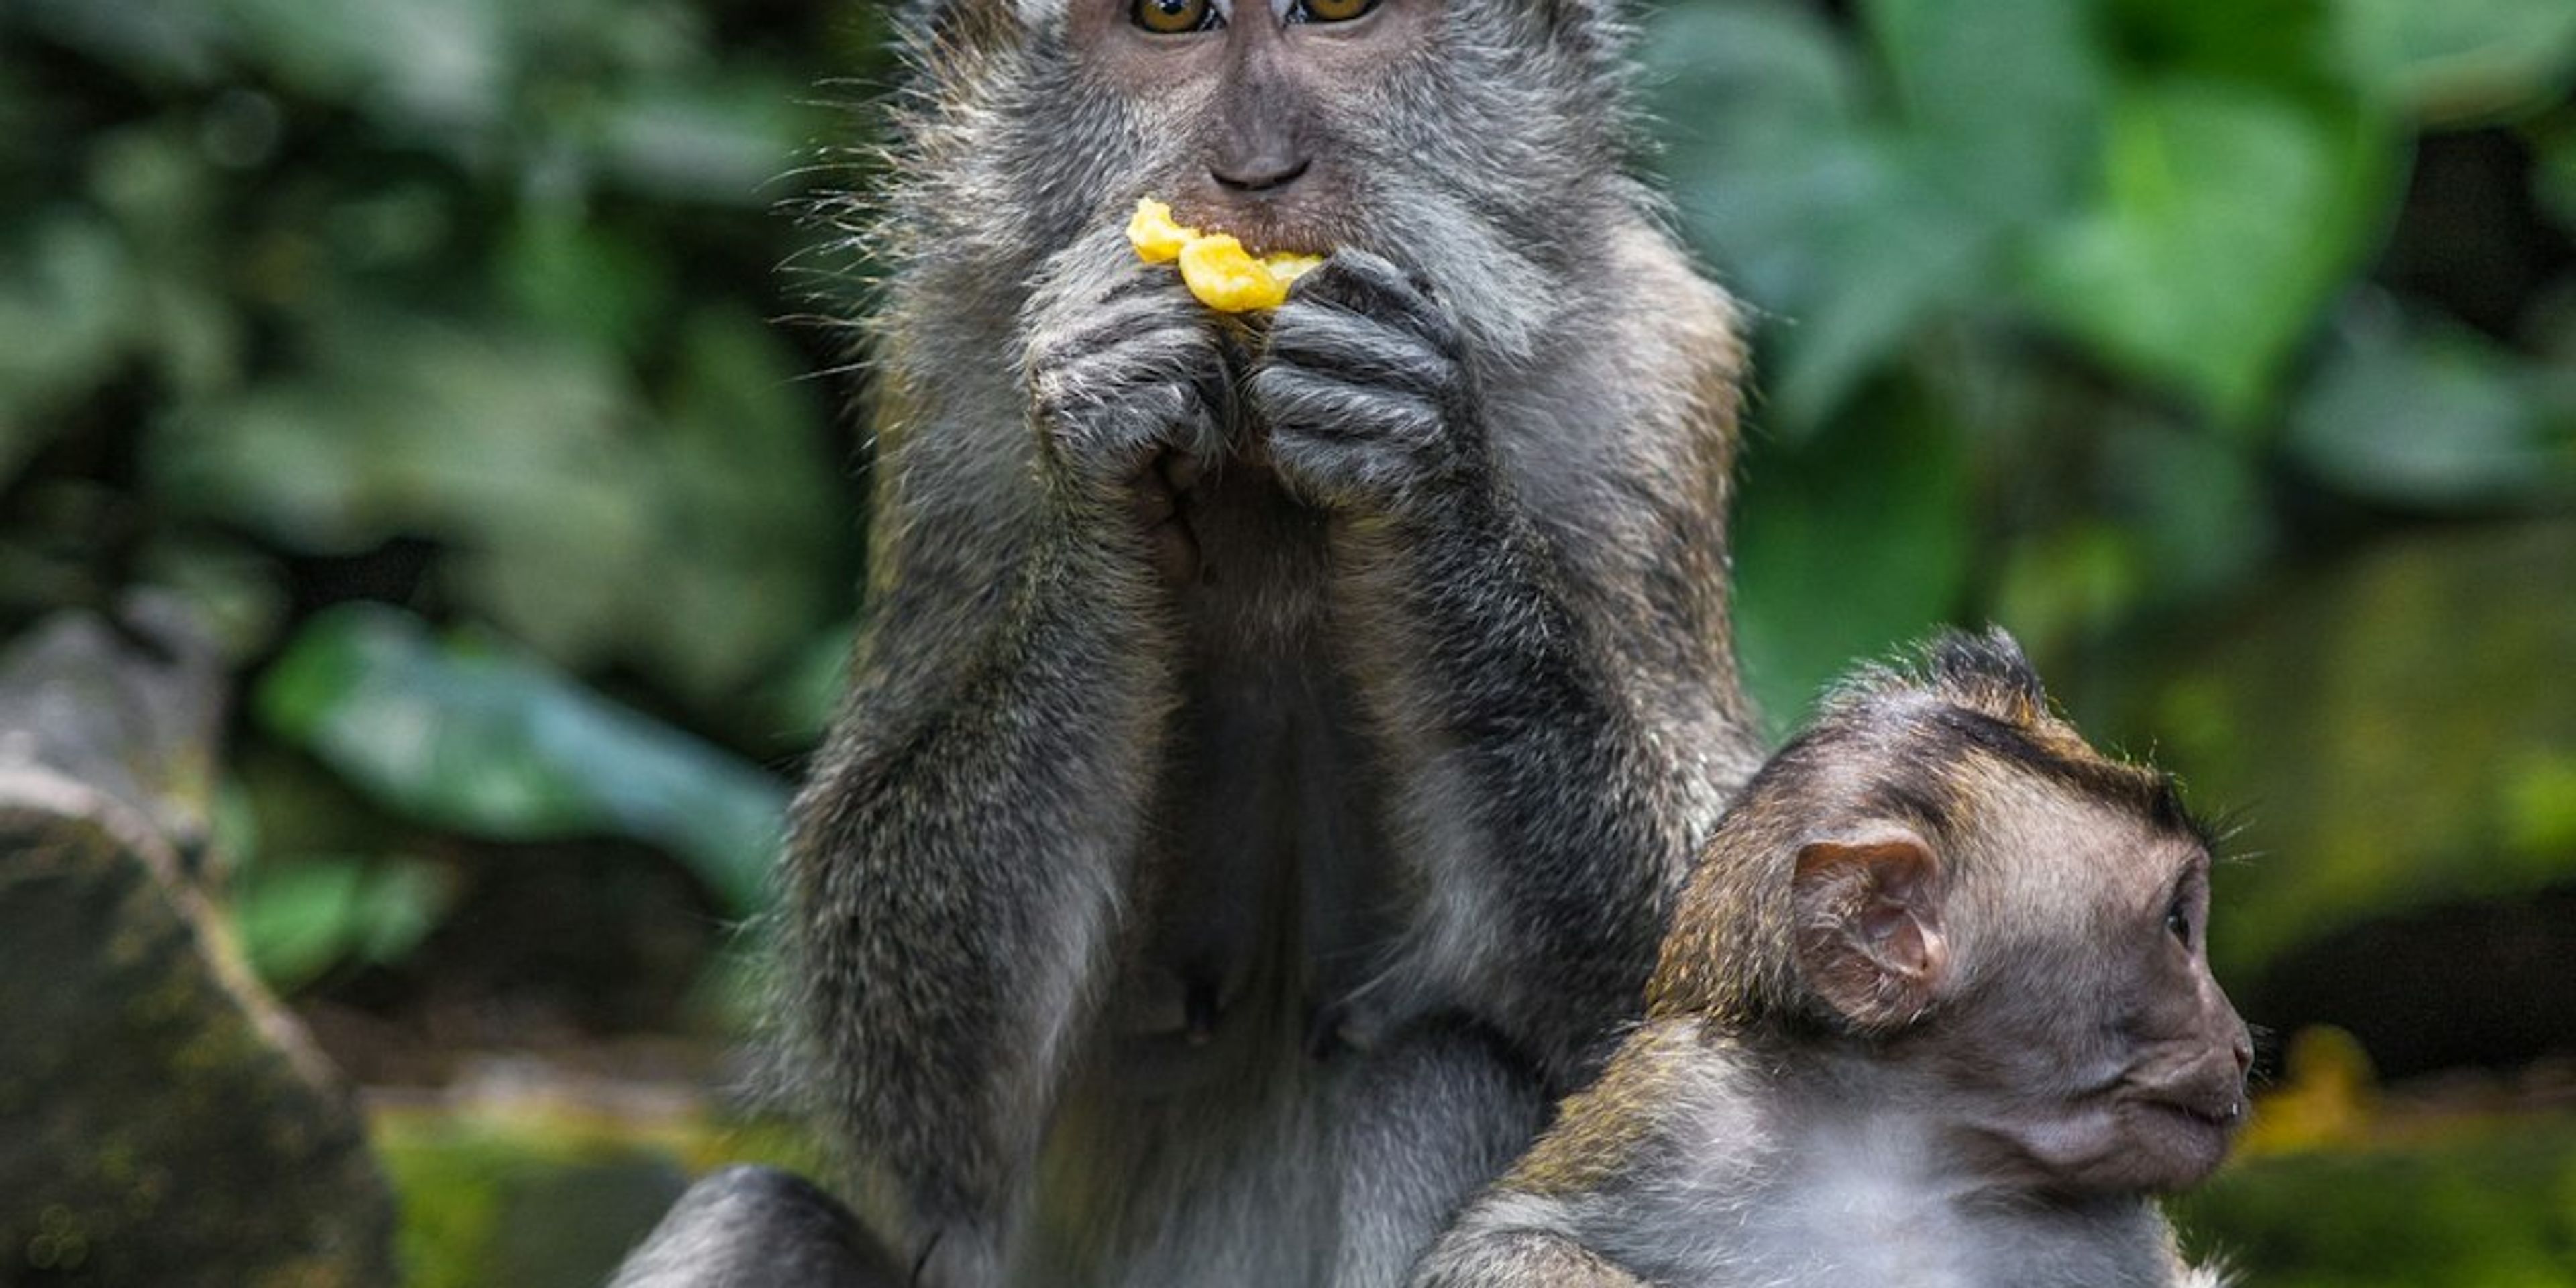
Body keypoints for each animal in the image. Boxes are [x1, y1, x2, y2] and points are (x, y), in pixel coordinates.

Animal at [608, 0, 1764, 1283]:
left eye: (1338, 12)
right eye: (1171, 15)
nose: (1256, 174)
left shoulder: (1653, 385)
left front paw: (1424, 465)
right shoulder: (937, 403)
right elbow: (926, 1113)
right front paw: (1105, 434)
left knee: (1439, 1072)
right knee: (750, 1213)